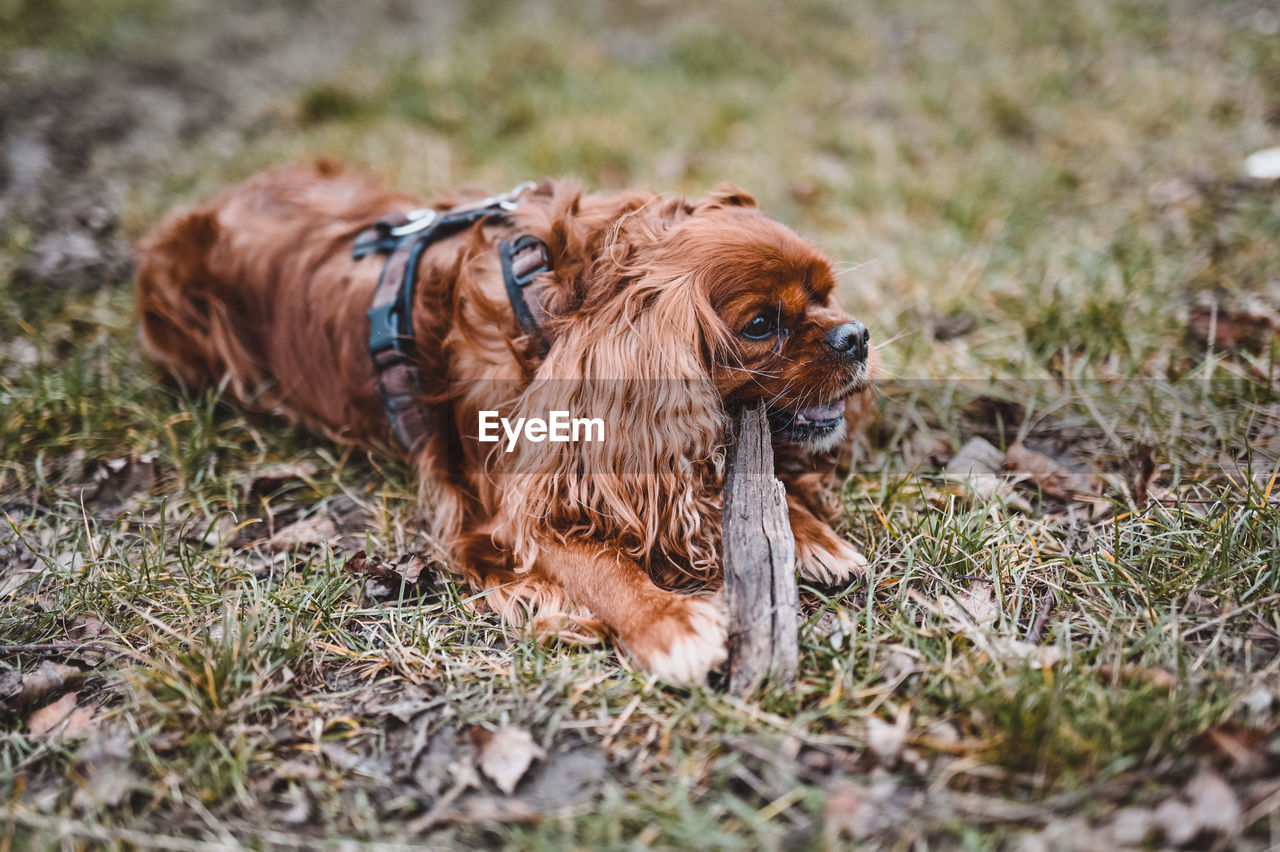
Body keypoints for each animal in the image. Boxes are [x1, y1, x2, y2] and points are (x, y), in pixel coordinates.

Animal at [137, 157, 880, 675]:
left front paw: (810, 534)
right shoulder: (504, 514)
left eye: (826, 295)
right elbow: (594, 564)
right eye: (760, 325)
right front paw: (667, 623)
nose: (857, 337)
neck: (555, 305)